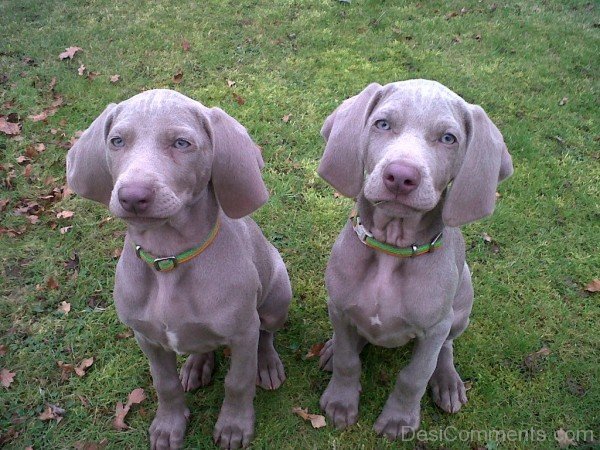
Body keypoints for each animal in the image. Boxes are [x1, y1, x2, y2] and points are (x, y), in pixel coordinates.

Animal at [65, 89, 290, 448]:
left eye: (182, 143)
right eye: (117, 141)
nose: (133, 196)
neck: (169, 259)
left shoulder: (243, 332)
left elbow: (237, 382)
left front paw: (234, 426)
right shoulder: (146, 337)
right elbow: (164, 384)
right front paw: (168, 426)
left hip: (277, 295)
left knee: (266, 333)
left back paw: (266, 364)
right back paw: (196, 365)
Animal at [318, 79, 510, 438]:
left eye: (448, 138)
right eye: (382, 124)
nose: (400, 176)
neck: (391, 248)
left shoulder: (434, 328)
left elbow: (415, 376)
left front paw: (399, 420)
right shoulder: (338, 306)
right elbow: (348, 361)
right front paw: (340, 402)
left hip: (462, 302)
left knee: (447, 347)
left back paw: (447, 381)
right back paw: (332, 348)